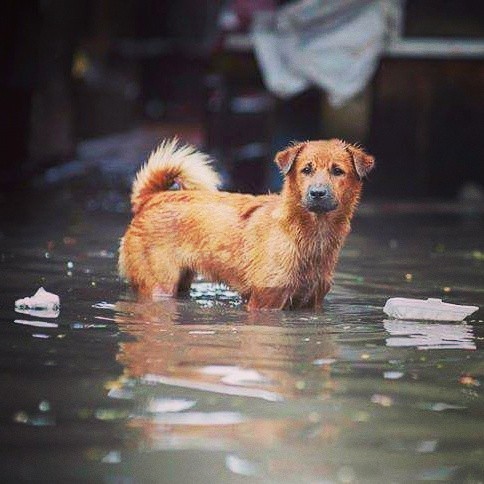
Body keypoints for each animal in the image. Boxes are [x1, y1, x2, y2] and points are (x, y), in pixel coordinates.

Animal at [118, 137, 374, 310]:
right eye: (306, 170)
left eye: (338, 171)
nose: (317, 193)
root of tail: (151, 198)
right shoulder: (265, 302)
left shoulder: (312, 302)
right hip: (160, 286)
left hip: (182, 282)